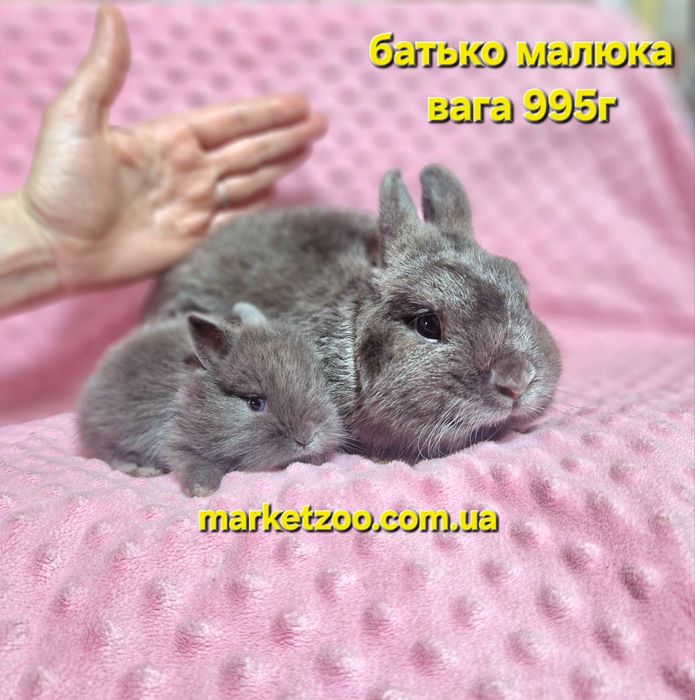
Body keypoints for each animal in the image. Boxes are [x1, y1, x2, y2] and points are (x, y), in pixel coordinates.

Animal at [78, 302, 344, 496]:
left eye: (319, 383)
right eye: (255, 402)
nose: (307, 438)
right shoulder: (178, 441)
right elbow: (195, 465)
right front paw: (202, 490)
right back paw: (142, 470)